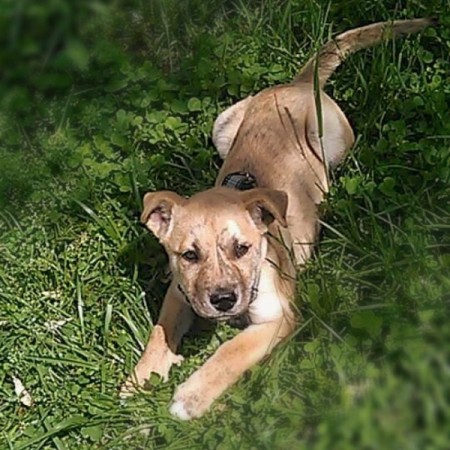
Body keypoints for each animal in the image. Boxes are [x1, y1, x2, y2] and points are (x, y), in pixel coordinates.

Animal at [121, 17, 434, 418]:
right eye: (189, 255)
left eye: (242, 248)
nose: (223, 300)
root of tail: (295, 84)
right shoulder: (180, 294)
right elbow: (159, 334)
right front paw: (139, 379)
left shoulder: (279, 315)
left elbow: (230, 349)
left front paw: (190, 397)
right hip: (222, 125)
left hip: (333, 142)